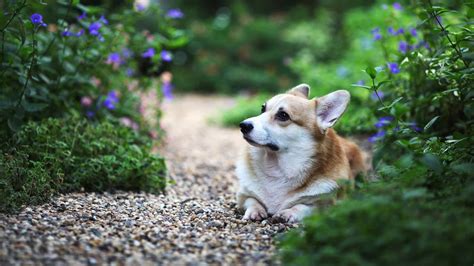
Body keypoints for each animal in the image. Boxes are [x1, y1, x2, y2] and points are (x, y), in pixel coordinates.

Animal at [236, 83, 366, 222]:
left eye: (283, 115)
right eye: (262, 108)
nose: (243, 125)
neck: (277, 167)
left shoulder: (325, 205)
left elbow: (303, 206)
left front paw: (287, 213)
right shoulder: (243, 196)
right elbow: (252, 201)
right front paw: (255, 211)